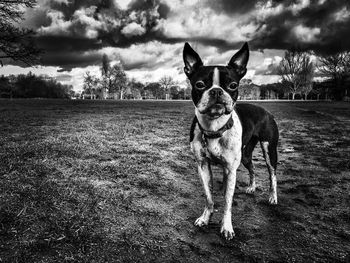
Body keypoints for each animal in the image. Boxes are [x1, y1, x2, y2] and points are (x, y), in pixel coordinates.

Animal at [183, 41, 278, 241]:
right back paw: (251, 187)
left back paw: (273, 197)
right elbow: (209, 197)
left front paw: (226, 227)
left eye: (233, 85)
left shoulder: (230, 168)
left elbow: (227, 201)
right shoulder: (202, 166)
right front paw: (206, 218)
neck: (214, 129)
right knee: (252, 167)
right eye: (200, 84)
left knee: (272, 173)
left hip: (269, 150)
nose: (217, 91)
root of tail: (265, 110)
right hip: (245, 155)